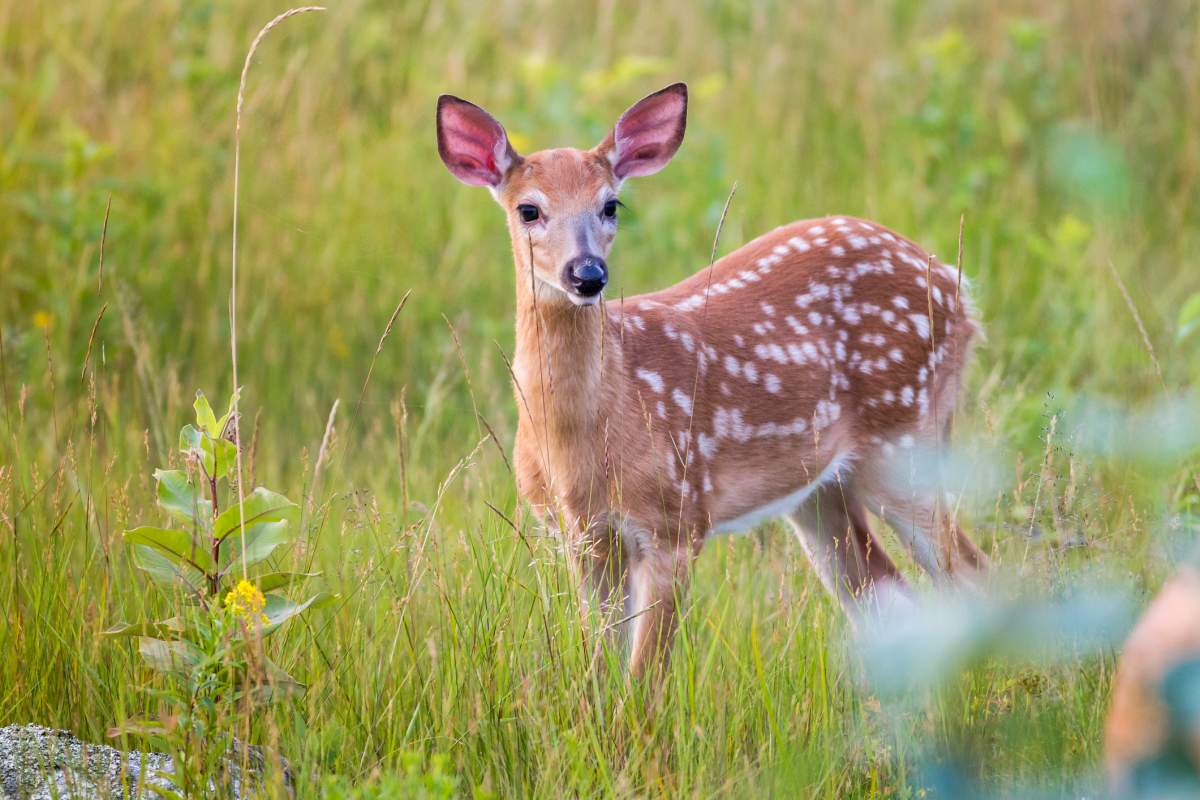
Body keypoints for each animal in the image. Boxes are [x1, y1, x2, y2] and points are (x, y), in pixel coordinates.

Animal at [435, 82, 988, 679]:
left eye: (611, 204)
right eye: (528, 210)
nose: (587, 274)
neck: (588, 438)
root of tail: (956, 285)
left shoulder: (677, 519)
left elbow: (644, 682)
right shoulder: (581, 537)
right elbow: (598, 671)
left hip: (906, 441)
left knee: (973, 576)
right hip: (819, 487)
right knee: (887, 595)